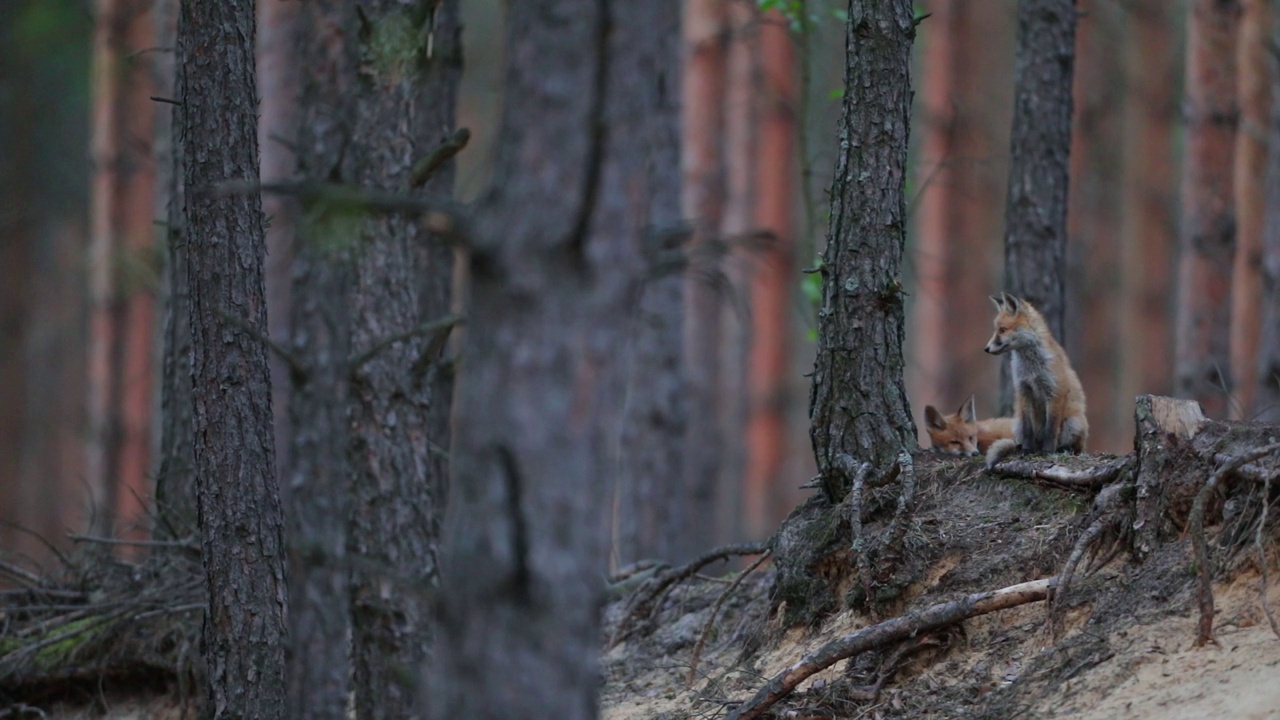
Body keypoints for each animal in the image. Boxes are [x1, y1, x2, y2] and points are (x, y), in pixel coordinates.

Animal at [983, 292, 1085, 466]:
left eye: (1002, 330)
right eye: (996, 330)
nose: (986, 349)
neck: (1031, 369)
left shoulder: (1054, 391)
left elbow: (1051, 429)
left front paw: (1047, 451)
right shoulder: (1024, 390)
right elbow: (1028, 429)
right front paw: (1027, 450)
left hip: (1073, 422)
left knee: (1074, 447)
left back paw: (1062, 449)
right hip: (1016, 423)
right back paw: (1027, 448)